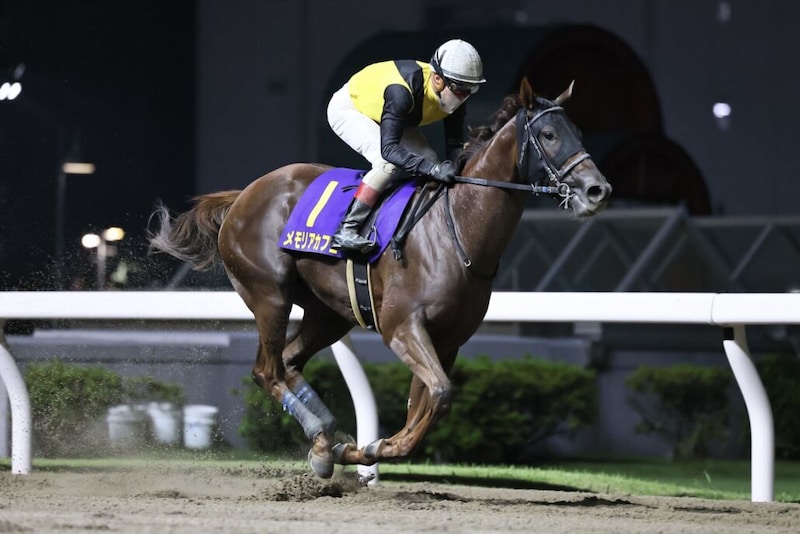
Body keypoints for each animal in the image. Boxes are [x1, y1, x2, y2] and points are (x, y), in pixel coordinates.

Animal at [149, 77, 611, 479]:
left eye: (578, 131)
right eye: (548, 134)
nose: (598, 190)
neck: (457, 229)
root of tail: (244, 194)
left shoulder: (448, 340)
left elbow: (426, 404)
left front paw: (362, 449)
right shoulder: (401, 326)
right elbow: (439, 395)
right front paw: (369, 448)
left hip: (330, 313)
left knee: (291, 360)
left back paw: (325, 440)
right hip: (270, 296)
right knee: (268, 370)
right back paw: (320, 435)